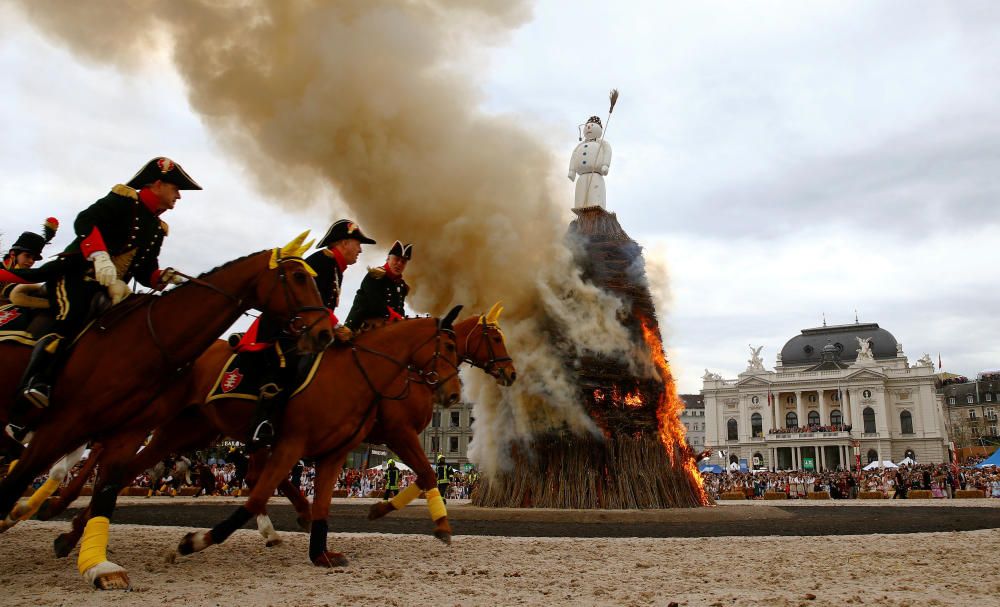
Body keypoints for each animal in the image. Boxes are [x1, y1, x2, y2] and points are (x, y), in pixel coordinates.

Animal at [0, 232, 336, 588]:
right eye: (298, 276)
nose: (324, 333)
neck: (148, 336)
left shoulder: (126, 430)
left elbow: (105, 485)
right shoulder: (64, 422)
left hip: (182, 432)